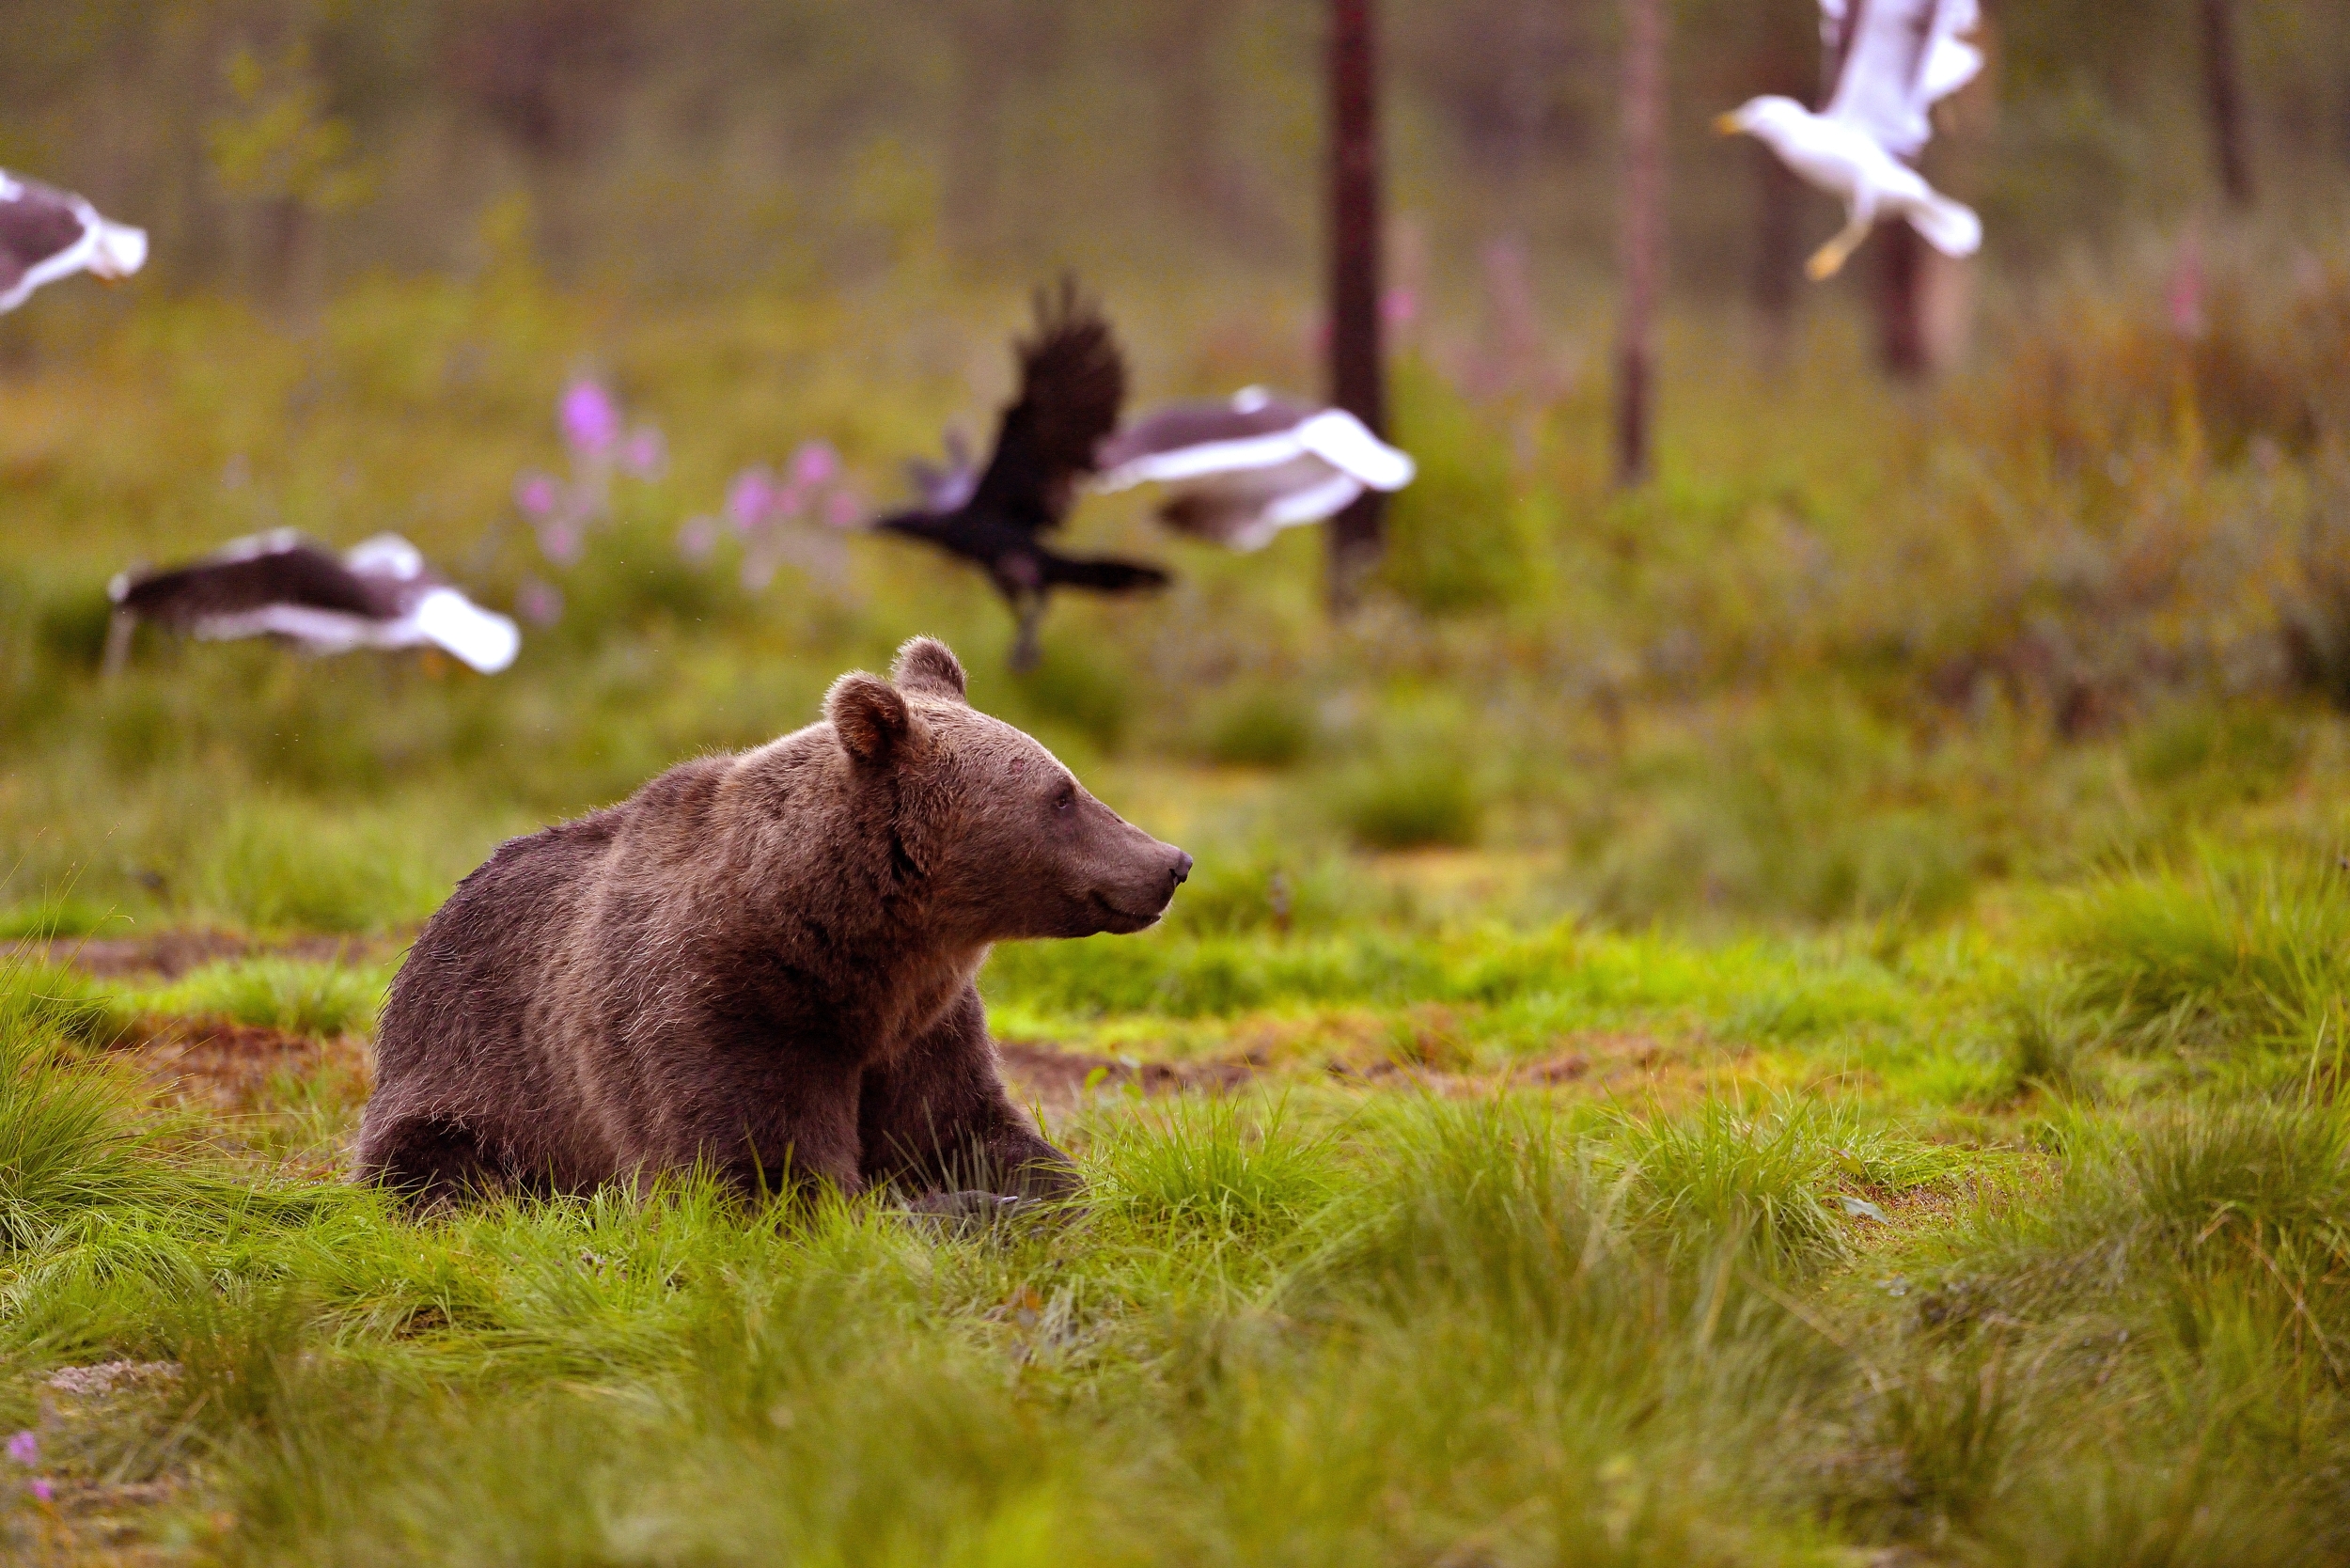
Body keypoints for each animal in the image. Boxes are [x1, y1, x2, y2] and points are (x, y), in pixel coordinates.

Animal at [353, 635, 1191, 1207]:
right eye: (1061, 795)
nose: (1171, 862)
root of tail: (430, 929)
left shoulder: (922, 1028)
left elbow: (969, 1131)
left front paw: (1038, 1194)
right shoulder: (721, 1012)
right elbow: (764, 1170)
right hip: (472, 1077)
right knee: (443, 1169)